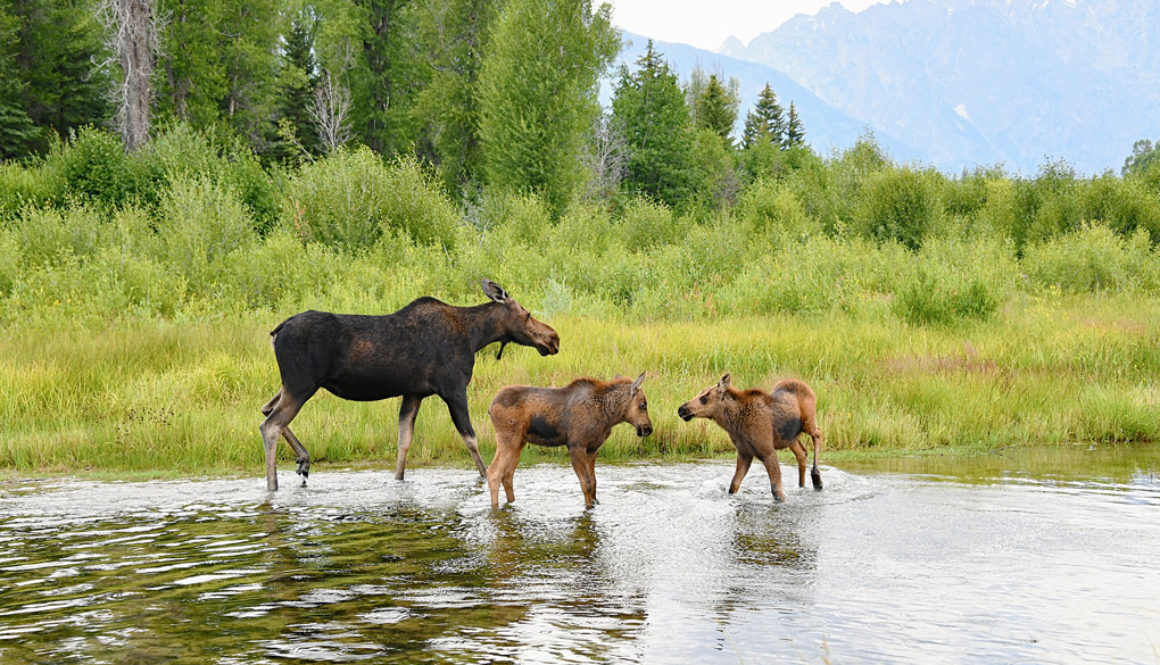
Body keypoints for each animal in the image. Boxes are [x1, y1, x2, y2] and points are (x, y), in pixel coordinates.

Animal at [257, 277, 561, 489]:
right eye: (527, 314)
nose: (554, 338)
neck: (475, 336)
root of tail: (275, 332)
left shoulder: (413, 393)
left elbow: (404, 441)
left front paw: (398, 480)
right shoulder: (453, 388)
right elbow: (471, 438)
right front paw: (485, 477)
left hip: (294, 385)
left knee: (266, 409)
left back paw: (303, 460)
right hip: (302, 384)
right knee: (270, 424)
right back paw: (273, 485)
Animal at [487, 373, 654, 508]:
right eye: (643, 404)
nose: (648, 428)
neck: (608, 415)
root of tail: (490, 407)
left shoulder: (592, 448)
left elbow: (594, 482)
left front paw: (595, 504)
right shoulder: (576, 445)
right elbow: (586, 483)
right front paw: (588, 507)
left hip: (520, 442)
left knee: (508, 475)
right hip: (508, 438)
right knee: (494, 472)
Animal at [677, 371, 821, 501]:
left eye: (704, 398)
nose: (681, 409)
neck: (734, 424)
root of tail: (807, 386)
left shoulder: (768, 452)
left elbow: (776, 491)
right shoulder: (744, 453)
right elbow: (733, 485)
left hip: (808, 422)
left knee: (818, 434)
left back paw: (817, 478)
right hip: (790, 437)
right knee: (802, 453)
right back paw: (801, 486)